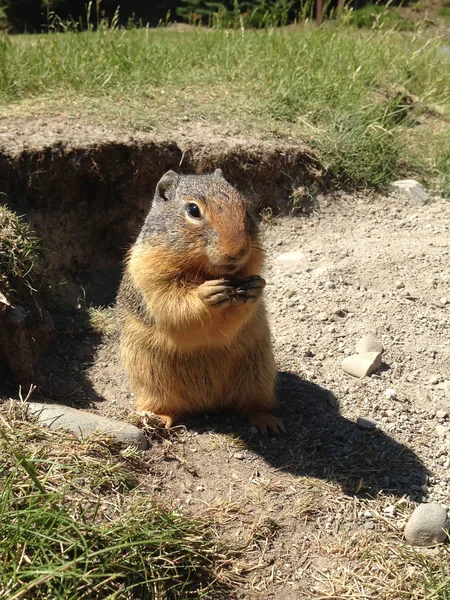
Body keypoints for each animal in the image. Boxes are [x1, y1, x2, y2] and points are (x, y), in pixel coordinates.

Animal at [117, 171, 284, 434]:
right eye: (193, 210)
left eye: (244, 206)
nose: (238, 251)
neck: (207, 271)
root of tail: (208, 404)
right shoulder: (150, 274)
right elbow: (172, 303)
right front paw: (207, 294)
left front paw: (255, 288)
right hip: (150, 379)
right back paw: (158, 419)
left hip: (260, 375)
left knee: (252, 405)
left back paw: (268, 422)